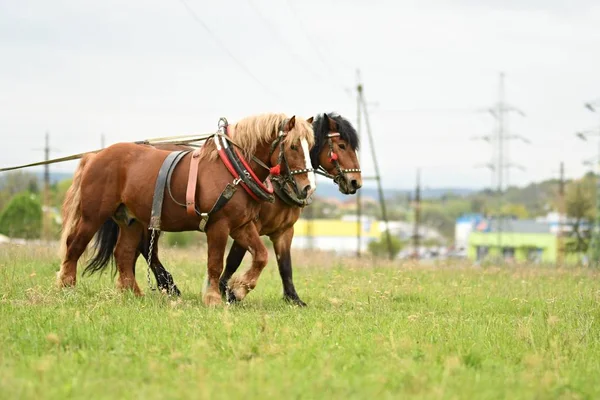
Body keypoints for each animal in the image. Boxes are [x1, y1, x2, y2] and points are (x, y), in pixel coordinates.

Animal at [88, 112, 360, 306]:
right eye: (342, 145)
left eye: (310, 145)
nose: (356, 182)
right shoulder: (243, 224)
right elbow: (233, 260)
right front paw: (226, 290)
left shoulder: (283, 231)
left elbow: (284, 264)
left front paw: (293, 298)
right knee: (146, 249)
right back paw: (169, 286)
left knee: (137, 250)